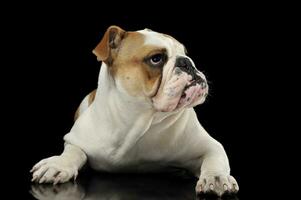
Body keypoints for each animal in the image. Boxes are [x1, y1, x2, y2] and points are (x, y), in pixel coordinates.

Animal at [29, 25, 237, 196]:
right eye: (156, 59)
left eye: (185, 53)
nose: (187, 62)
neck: (141, 120)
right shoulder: (76, 139)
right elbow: (73, 152)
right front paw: (58, 164)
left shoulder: (207, 146)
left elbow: (214, 158)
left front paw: (216, 178)